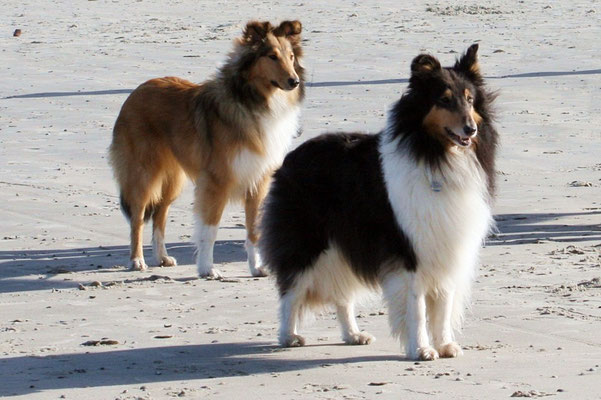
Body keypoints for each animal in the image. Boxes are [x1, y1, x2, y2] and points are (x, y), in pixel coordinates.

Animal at [108, 20, 302, 276]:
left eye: (291, 56)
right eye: (272, 56)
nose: (294, 81)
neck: (253, 102)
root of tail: (136, 92)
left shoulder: (258, 181)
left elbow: (253, 231)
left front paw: (257, 267)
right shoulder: (216, 182)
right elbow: (209, 229)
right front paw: (207, 269)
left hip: (173, 180)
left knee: (160, 214)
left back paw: (161, 257)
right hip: (144, 175)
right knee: (137, 218)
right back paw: (137, 260)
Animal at [258, 45, 496, 360]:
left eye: (470, 100)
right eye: (444, 100)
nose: (470, 130)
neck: (436, 156)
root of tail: (290, 157)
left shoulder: (444, 246)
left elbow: (443, 306)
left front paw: (445, 346)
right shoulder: (410, 251)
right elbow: (417, 307)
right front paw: (421, 349)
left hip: (343, 246)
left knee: (342, 295)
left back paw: (353, 335)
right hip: (307, 242)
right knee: (290, 288)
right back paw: (289, 335)